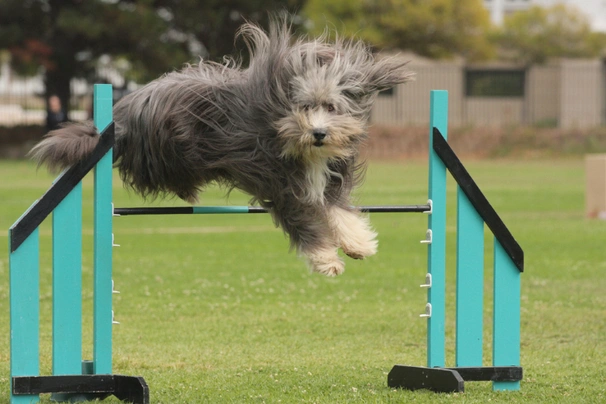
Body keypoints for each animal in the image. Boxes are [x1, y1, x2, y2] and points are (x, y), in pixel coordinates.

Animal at [30, 19, 416, 278]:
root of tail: (125, 109)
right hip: (165, 152)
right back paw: (186, 191)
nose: (319, 133)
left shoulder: (328, 177)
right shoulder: (277, 183)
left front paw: (358, 243)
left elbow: (338, 210)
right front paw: (327, 259)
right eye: (304, 107)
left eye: (332, 107)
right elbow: (303, 222)